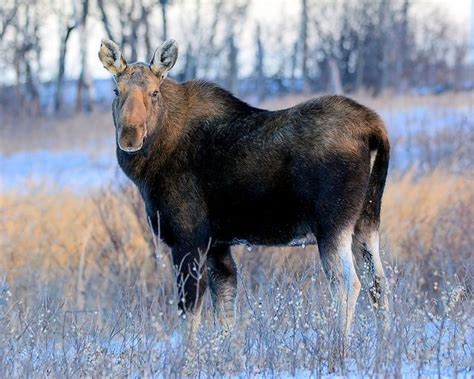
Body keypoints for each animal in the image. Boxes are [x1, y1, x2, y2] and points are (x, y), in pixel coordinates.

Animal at [99, 39, 388, 338]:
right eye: (116, 90)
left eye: (154, 92)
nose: (130, 136)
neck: (147, 169)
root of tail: (375, 130)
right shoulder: (217, 244)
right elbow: (225, 311)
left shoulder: (188, 238)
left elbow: (189, 314)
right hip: (366, 221)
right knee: (378, 282)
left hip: (332, 224)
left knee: (347, 283)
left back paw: (339, 343)